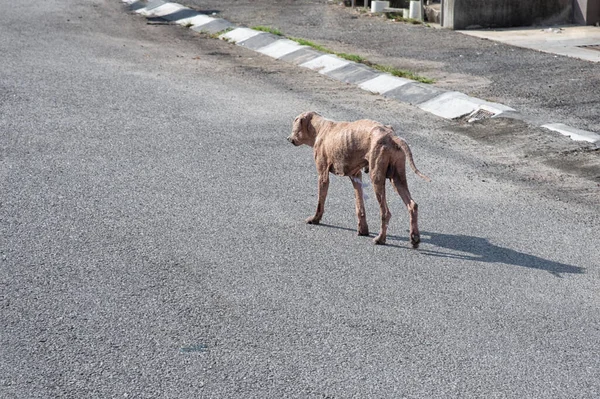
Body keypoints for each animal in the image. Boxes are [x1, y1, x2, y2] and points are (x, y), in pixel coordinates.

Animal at [288, 110, 432, 247]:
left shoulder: (323, 176)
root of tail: (391, 135)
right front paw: (363, 230)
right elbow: (360, 206)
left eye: (294, 124)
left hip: (377, 179)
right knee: (412, 205)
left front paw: (315, 219)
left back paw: (381, 239)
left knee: (386, 212)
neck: (320, 127)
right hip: (397, 179)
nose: (288, 138)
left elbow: (320, 202)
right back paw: (414, 238)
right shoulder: (356, 177)